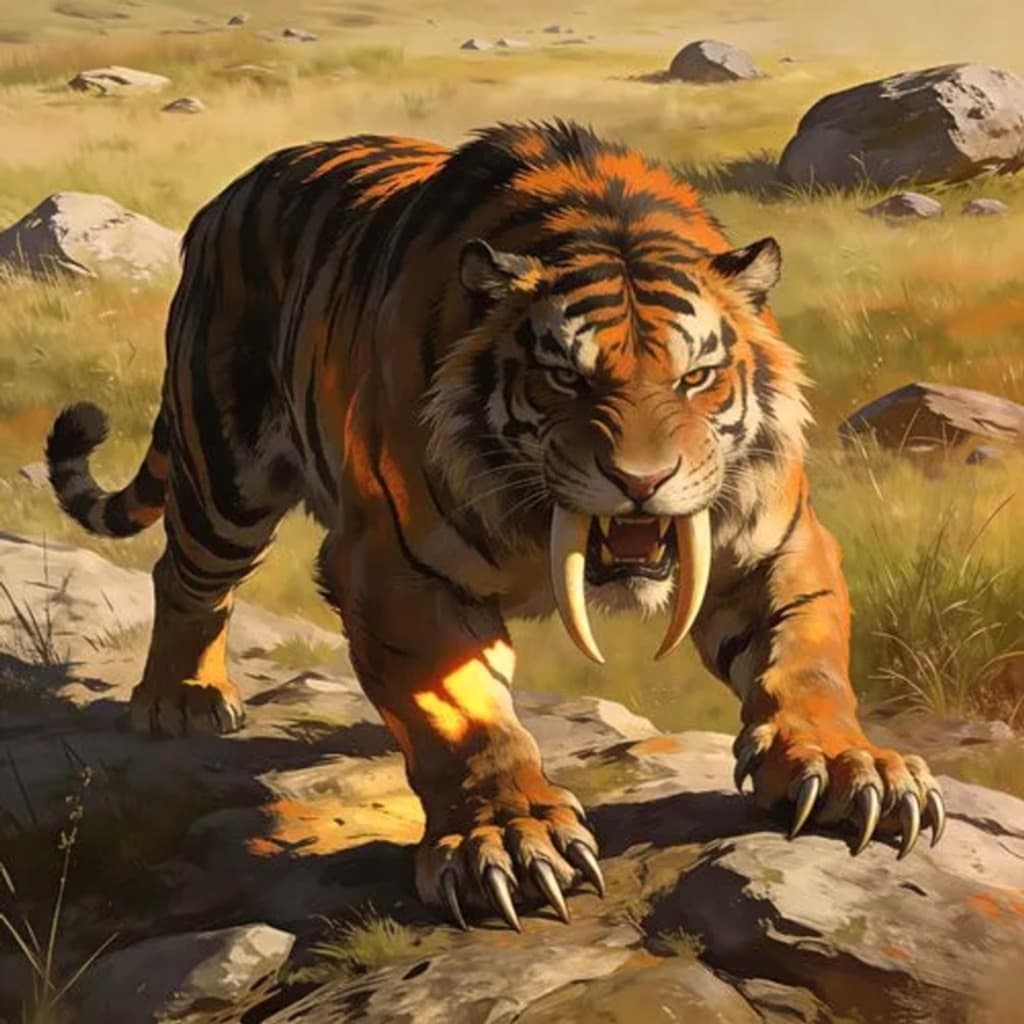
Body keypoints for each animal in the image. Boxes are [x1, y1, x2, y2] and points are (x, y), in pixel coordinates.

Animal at [46, 119, 945, 931]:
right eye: (565, 378)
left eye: (696, 378)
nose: (641, 482)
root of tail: (234, 191)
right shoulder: (403, 573)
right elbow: (463, 720)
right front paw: (508, 838)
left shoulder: (776, 545)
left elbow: (806, 659)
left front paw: (844, 764)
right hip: (223, 474)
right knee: (183, 577)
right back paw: (183, 699)